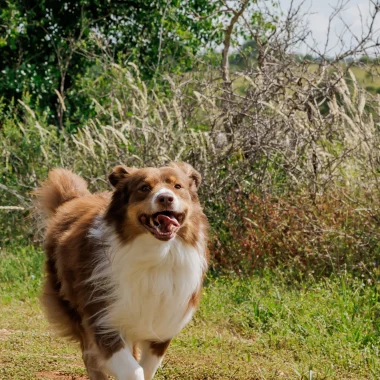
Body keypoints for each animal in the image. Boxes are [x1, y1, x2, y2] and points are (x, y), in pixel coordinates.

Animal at [34, 163, 209, 380]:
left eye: (177, 186)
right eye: (144, 188)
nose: (165, 198)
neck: (156, 254)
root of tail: (73, 200)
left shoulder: (164, 322)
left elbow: (146, 367)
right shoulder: (102, 318)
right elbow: (132, 369)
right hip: (70, 301)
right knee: (90, 356)